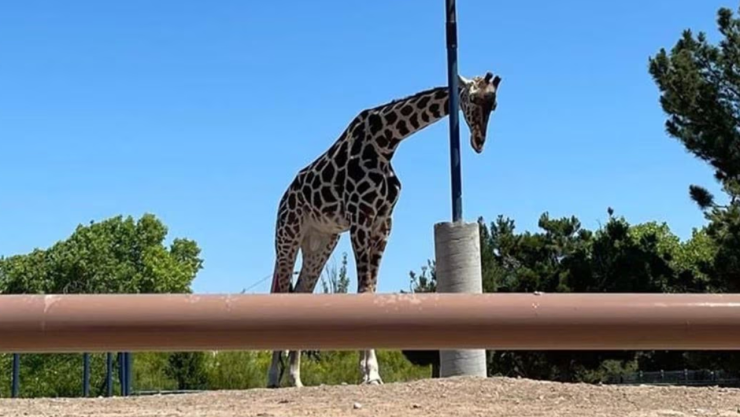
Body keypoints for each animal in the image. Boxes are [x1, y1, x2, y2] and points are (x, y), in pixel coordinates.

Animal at [267, 71, 502, 388]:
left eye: (494, 105)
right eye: (474, 98)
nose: (478, 142)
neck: (386, 140)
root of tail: (284, 197)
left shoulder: (383, 223)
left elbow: (371, 291)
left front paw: (370, 372)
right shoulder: (360, 219)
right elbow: (364, 291)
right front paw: (369, 373)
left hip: (321, 242)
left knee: (301, 293)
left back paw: (295, 379)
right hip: (287, 235)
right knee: (281, 292)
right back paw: (272, 377)